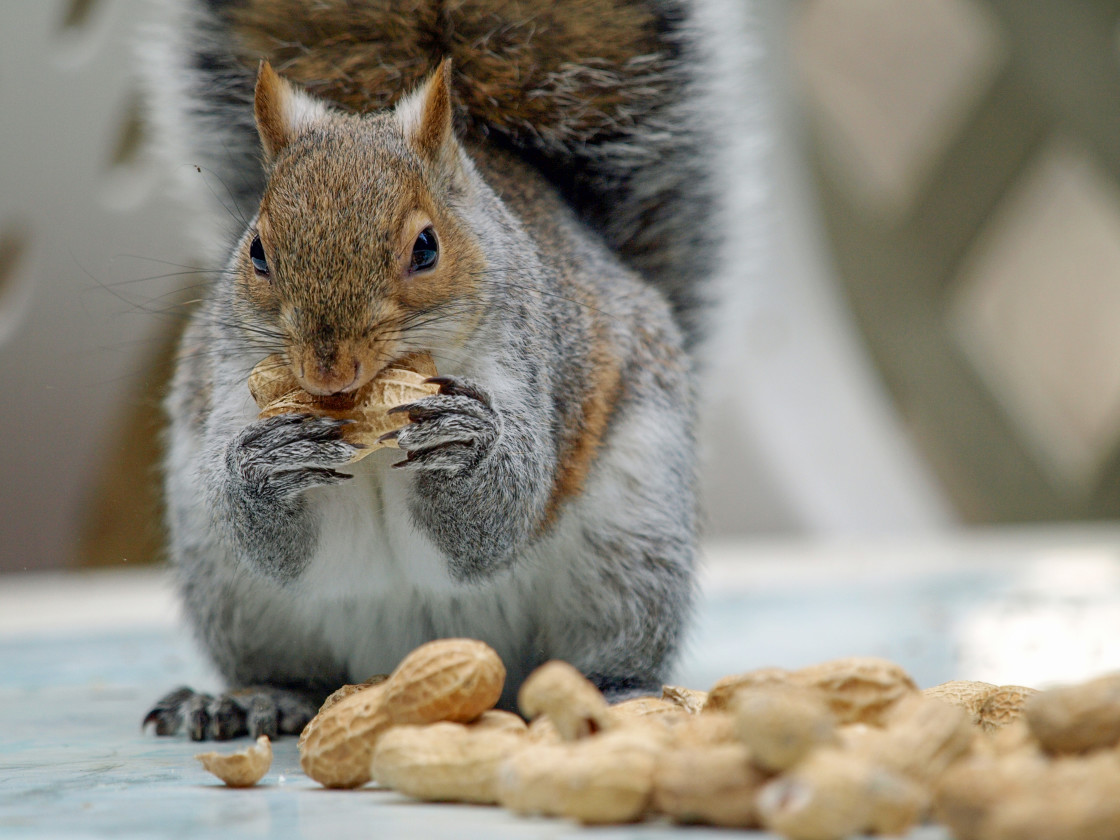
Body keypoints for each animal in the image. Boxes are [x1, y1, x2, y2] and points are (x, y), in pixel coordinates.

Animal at [144, 0, 761, 739]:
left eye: (426, 247)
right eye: (257, 252)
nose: (328, 370)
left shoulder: (533, 356)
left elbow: (503, 513)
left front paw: (469, 442)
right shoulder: (232, 377)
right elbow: (262, 532)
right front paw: (266, 463)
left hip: (632, 550)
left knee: (609, 642)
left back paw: (617, 694)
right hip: (231, 590)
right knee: (293, 665)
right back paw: (255, 697)